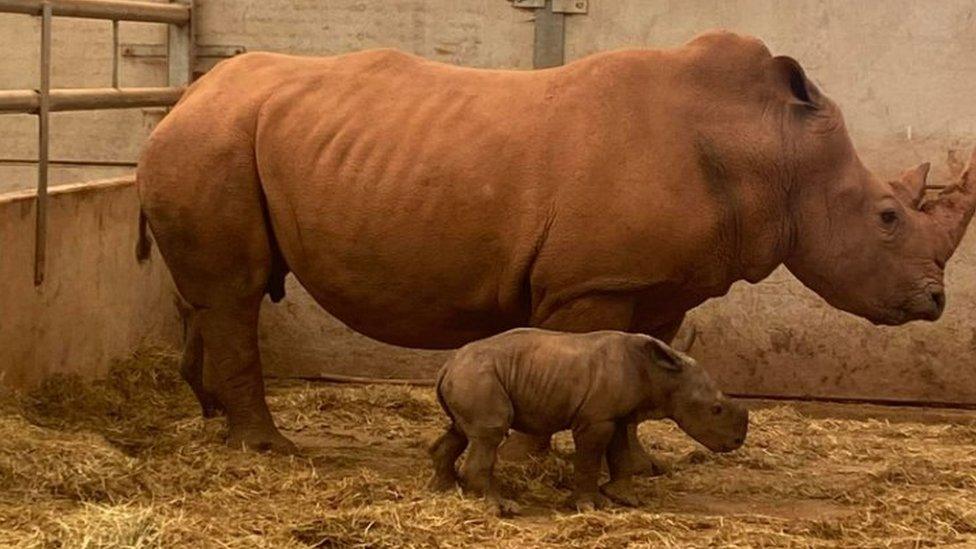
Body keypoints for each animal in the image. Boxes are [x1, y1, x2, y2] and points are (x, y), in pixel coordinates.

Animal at [428, 328, 748, 512]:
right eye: (716, 409)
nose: (736, 441)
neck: (663, 374)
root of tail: (446, 365)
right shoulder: (596, 419)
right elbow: (590, 458)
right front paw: (589, 506)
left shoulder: (617, 416)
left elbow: (621, 454)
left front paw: (626, 499)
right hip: (477, 375)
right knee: (490, 433)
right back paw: (501, 507)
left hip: (470, 375)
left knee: (463, 431)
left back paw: (445, 489)